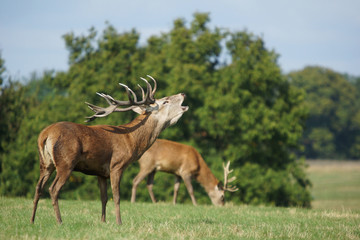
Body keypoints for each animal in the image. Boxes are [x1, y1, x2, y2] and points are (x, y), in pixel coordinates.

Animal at [30, 76, 188, 224]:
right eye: (165, 101)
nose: (183, 93)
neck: (131, 140)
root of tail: (45, 135)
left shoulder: (101, 172)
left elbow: (104, 198)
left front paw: (103, 221)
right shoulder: (117, 165)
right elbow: (116, 196)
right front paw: (119, 222)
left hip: (45, 163)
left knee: (38, 188)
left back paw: (32, 220)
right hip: (66, 162)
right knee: (53, 189)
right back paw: (59, 221)